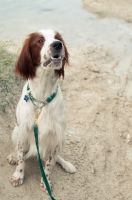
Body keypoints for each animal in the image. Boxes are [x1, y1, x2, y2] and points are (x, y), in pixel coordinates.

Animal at [7, 29, 76, 192]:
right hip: (15, 130)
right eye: (40, 40)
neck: (41, 99)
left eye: (58, 38)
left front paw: (46, 182)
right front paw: (18, 176)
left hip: (62, 138)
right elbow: (21, 157)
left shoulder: (54, 136)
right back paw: (13, 156)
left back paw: (67, 165)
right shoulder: (23, 130)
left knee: (57, 158)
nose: (58, 44)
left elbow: (50, 163)